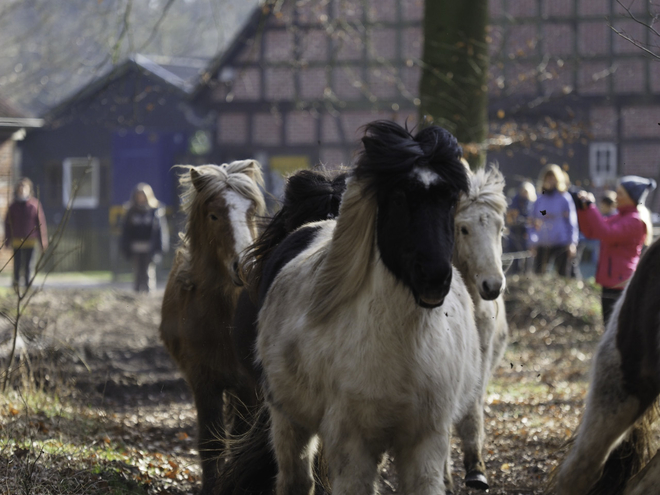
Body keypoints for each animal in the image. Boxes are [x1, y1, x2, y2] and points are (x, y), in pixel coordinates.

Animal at [159, 161, 266, 494]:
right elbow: (211, 443)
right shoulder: (203, 381)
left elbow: (240, 441)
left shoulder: (248, 387)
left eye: (251, 212)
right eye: (214, 215)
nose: (245, 267)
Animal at [217, 120, 480, 495]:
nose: (434, 278)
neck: (403, 347)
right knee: (296, 479)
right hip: (288, 419)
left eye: (449, 200)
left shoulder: (425, 441)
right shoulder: (353, 444)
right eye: (399, 196)